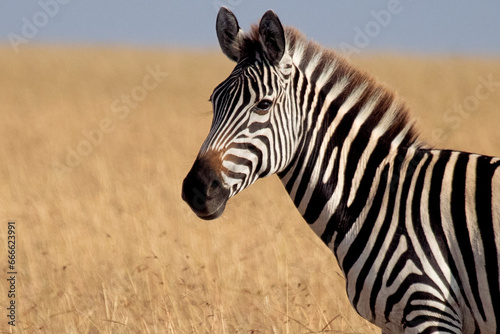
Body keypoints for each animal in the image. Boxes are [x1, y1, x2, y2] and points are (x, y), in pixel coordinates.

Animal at [183, 7, 500, 334]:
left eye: (263, 105)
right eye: (213, 101)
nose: (196, 189)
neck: (378, 197)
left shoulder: (431, 309)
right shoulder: (395, 322)